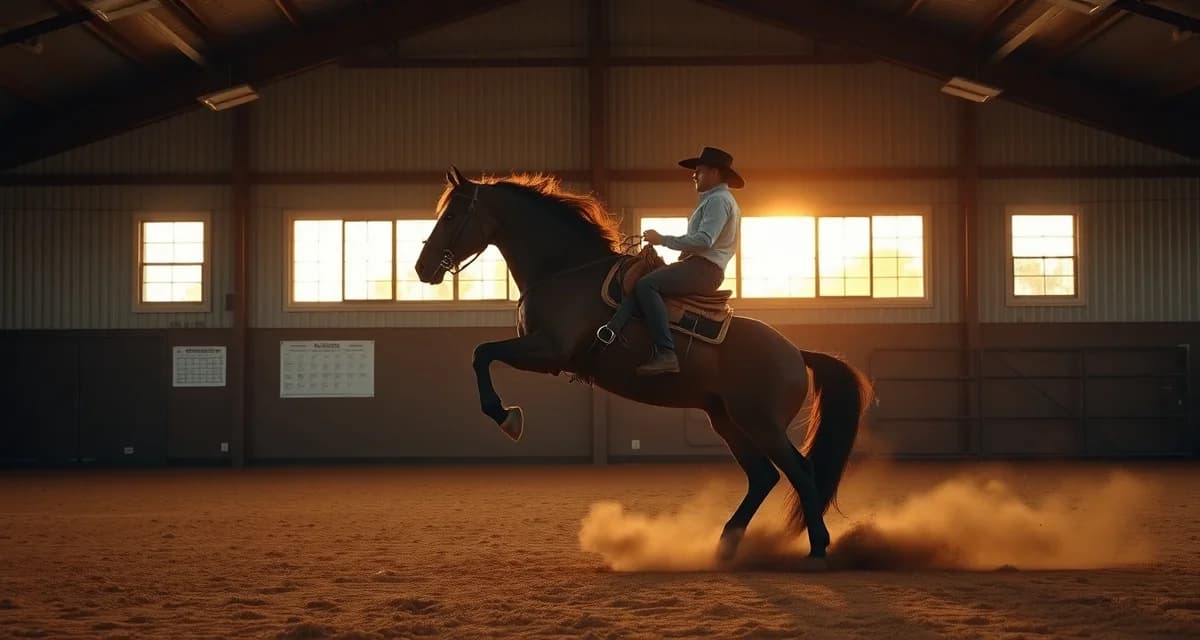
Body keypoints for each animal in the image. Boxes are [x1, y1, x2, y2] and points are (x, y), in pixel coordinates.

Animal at [414, 166, 873, 563]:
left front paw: (506, 416)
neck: (566, 272)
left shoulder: (549, 352)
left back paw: (817, 547)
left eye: (451, 214)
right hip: (727, 420)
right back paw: (726, 543)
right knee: (764, 477)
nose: (422, 268)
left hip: (761, 423)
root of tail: (796, 352)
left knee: (800, 470)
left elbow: (482, 353)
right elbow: (483, 354)